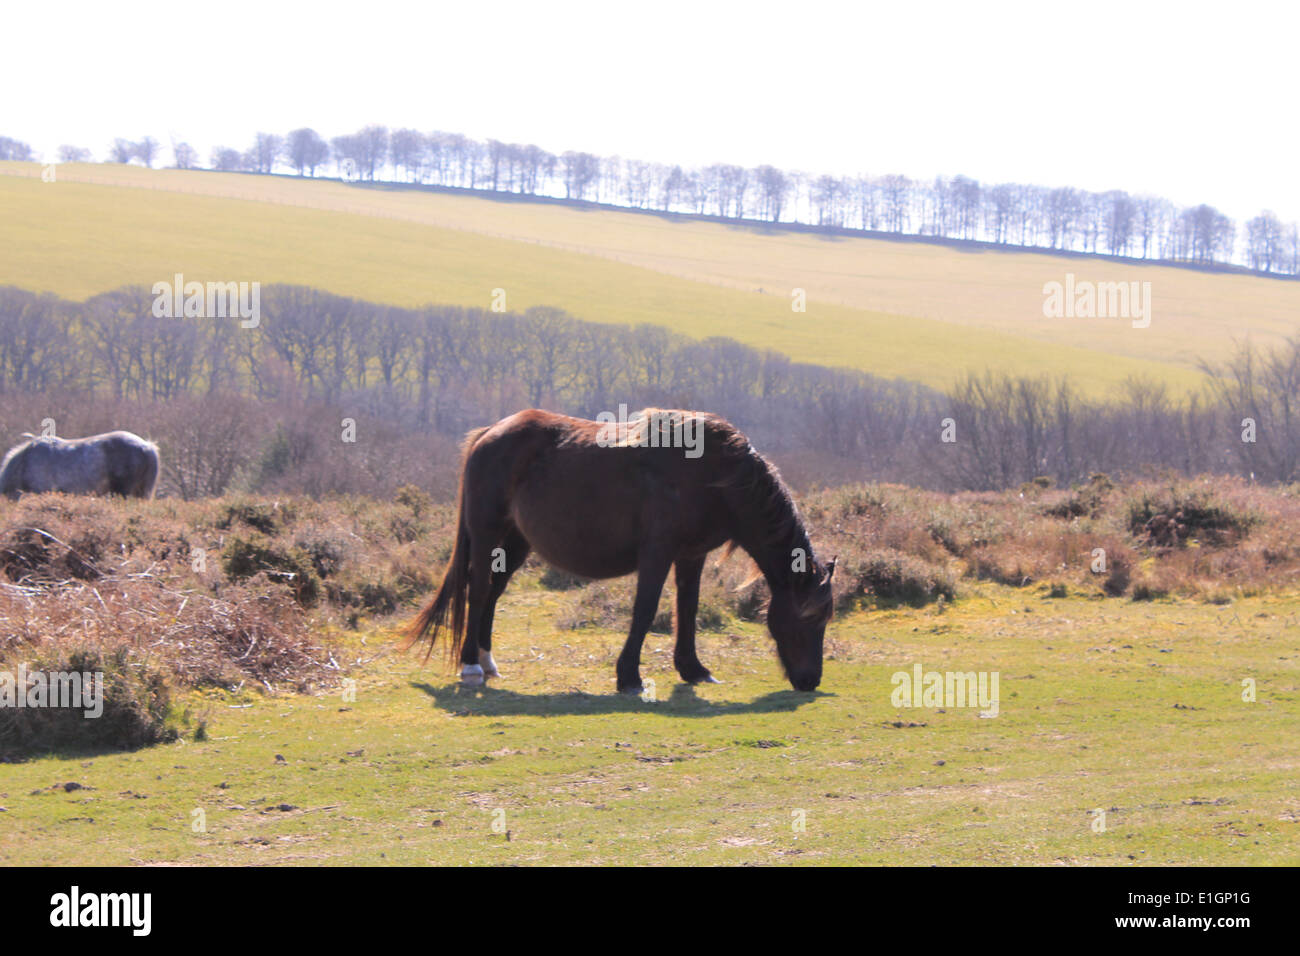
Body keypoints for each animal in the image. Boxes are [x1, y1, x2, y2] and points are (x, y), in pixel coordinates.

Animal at [403, 408, 832, 691]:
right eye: (809, 617)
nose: (810, 680)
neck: (712, 475)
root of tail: (491, 432)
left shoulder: (691, 556)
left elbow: (688, 609)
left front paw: (693, 669)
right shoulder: (657, 554)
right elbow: (645, 610)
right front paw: (629, 676)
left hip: (515, 543)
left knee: (492, 592)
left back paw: (488, 661)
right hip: (487, 535)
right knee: (477, 591)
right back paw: (471, 666)